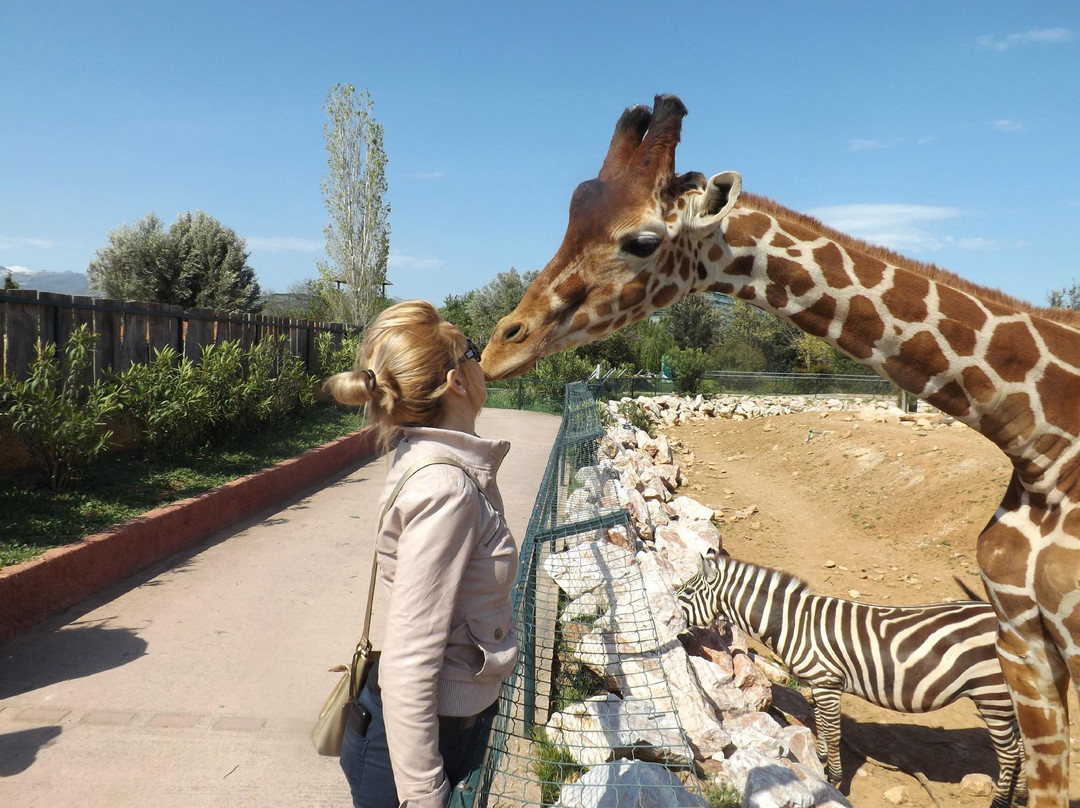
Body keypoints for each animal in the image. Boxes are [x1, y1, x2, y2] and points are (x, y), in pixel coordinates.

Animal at [678, 557, 1023, 808]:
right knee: (1019, 749)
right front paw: (819, 767)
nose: (672, 623)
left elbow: (831, 732)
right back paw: (1020, 796)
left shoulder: (827, 682)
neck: (793, 624)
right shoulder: (820, 684)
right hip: (1008, 697)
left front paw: (834, 780)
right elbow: (818, 726)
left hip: (991, 694)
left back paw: (1000, 804)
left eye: (686, 593)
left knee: (1008, 754)